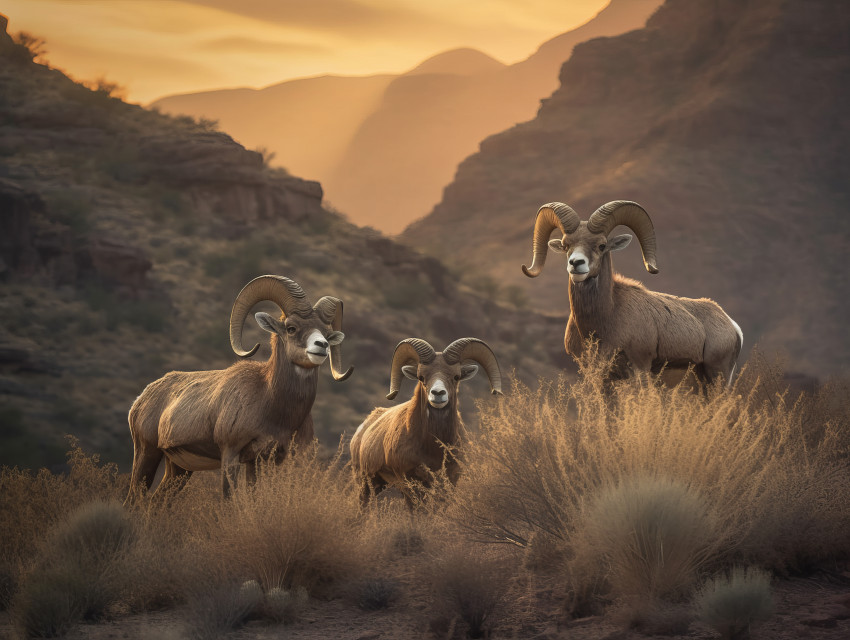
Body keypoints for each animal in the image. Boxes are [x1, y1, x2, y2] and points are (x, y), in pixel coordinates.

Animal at [126, 274, 353, 499]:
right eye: (291, 328)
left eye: (327, 333)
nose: (321, 346)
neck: (271, 404)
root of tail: (140, 400)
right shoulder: (231, 455)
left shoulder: (262, 462)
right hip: (147, 453)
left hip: (179, 470)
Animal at [350, 337, 502, 505]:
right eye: (421, 377)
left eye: (456, 376)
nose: (438, 393)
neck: (433, 448)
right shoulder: (410, 485)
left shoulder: (449, 484)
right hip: (366, 484)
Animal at [522, 201, 743, 384]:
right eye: (566, 245)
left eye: (601, 245)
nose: (576, 263)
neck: (603, 322)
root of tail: (733, 326)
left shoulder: (639, 369)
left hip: (717, 376)